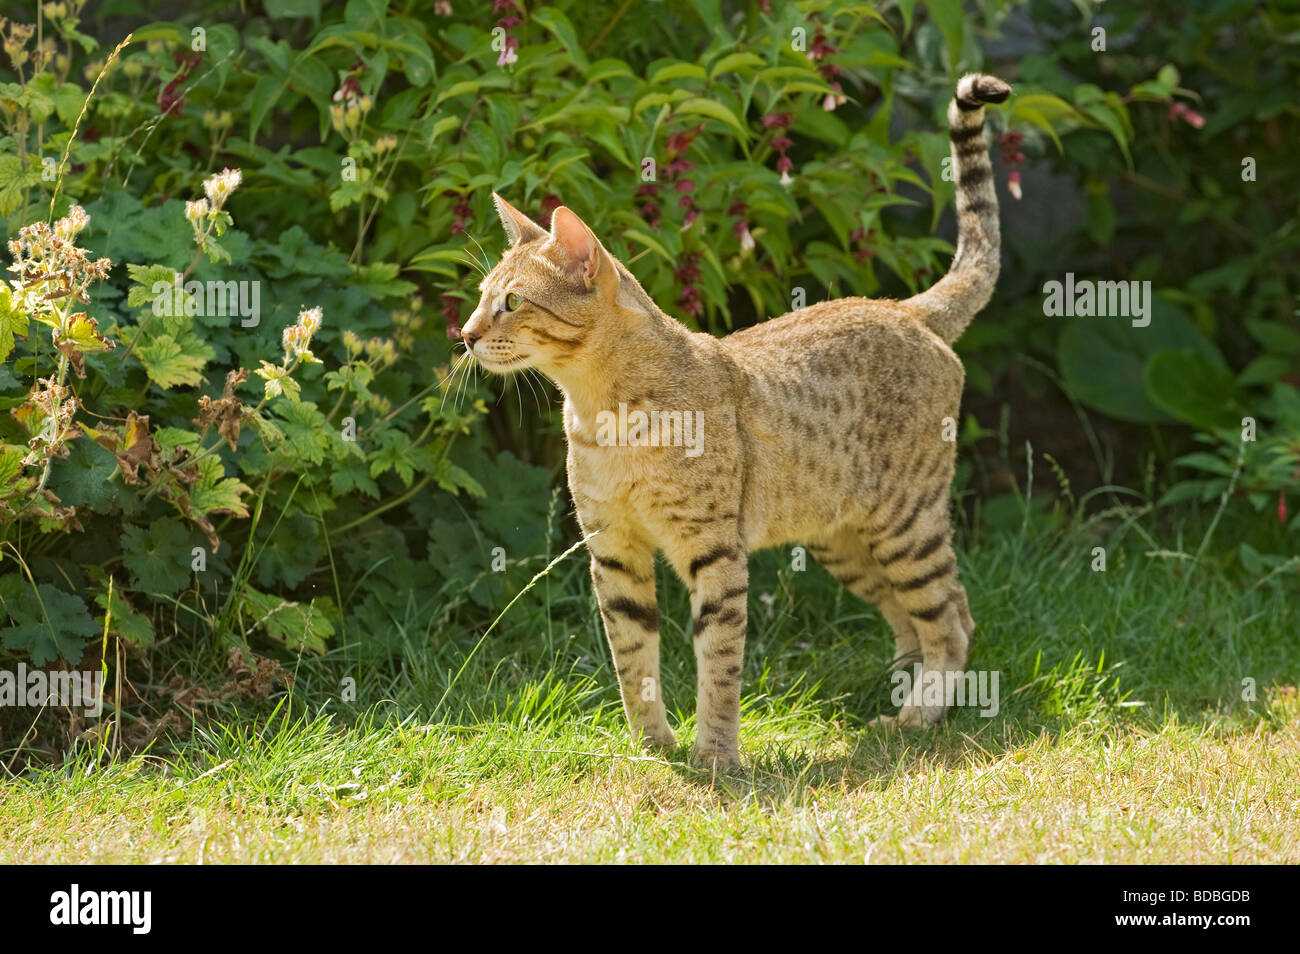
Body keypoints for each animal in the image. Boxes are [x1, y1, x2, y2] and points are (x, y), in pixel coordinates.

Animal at [462, 72, 1008, 769]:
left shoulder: (714, 550)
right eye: (481, 298)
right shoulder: (613, 550)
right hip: (842, 537)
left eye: (512, 301)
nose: (465, 334)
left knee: (952, 619)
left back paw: (918, 716)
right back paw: (894, 696)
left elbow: (718, 662)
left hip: (905, 522)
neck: (600, 408)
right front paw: (652, 749)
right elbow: (632, 658)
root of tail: (903, 307)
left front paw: (716, 756)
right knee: (920, 615)